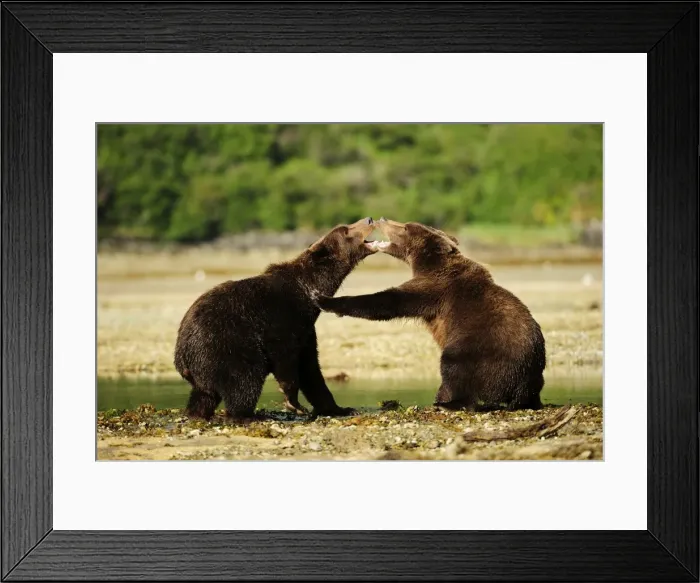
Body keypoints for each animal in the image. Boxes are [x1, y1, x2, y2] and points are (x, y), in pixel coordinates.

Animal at [174, 217, 378, 420]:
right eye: (346, 230)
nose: (369, 219)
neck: (308, 291)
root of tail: (181, 354)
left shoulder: (306, 329)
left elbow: (311, 368)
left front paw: (339, 408)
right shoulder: (281, 317)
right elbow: (286, 359)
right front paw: (294, 403)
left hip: (205, 366)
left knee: (204, 394)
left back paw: (197, 413)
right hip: (224, 344)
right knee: (245, 379)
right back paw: (247, 415)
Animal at [317, 218, 546, 411]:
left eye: (405, 227)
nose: (382, 219)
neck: (427, 262)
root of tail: (524, 384)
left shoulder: (434, 289)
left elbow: (389, 301)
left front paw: (325, 300)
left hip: (481, 350)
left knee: (455, 368)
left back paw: (448, 402)